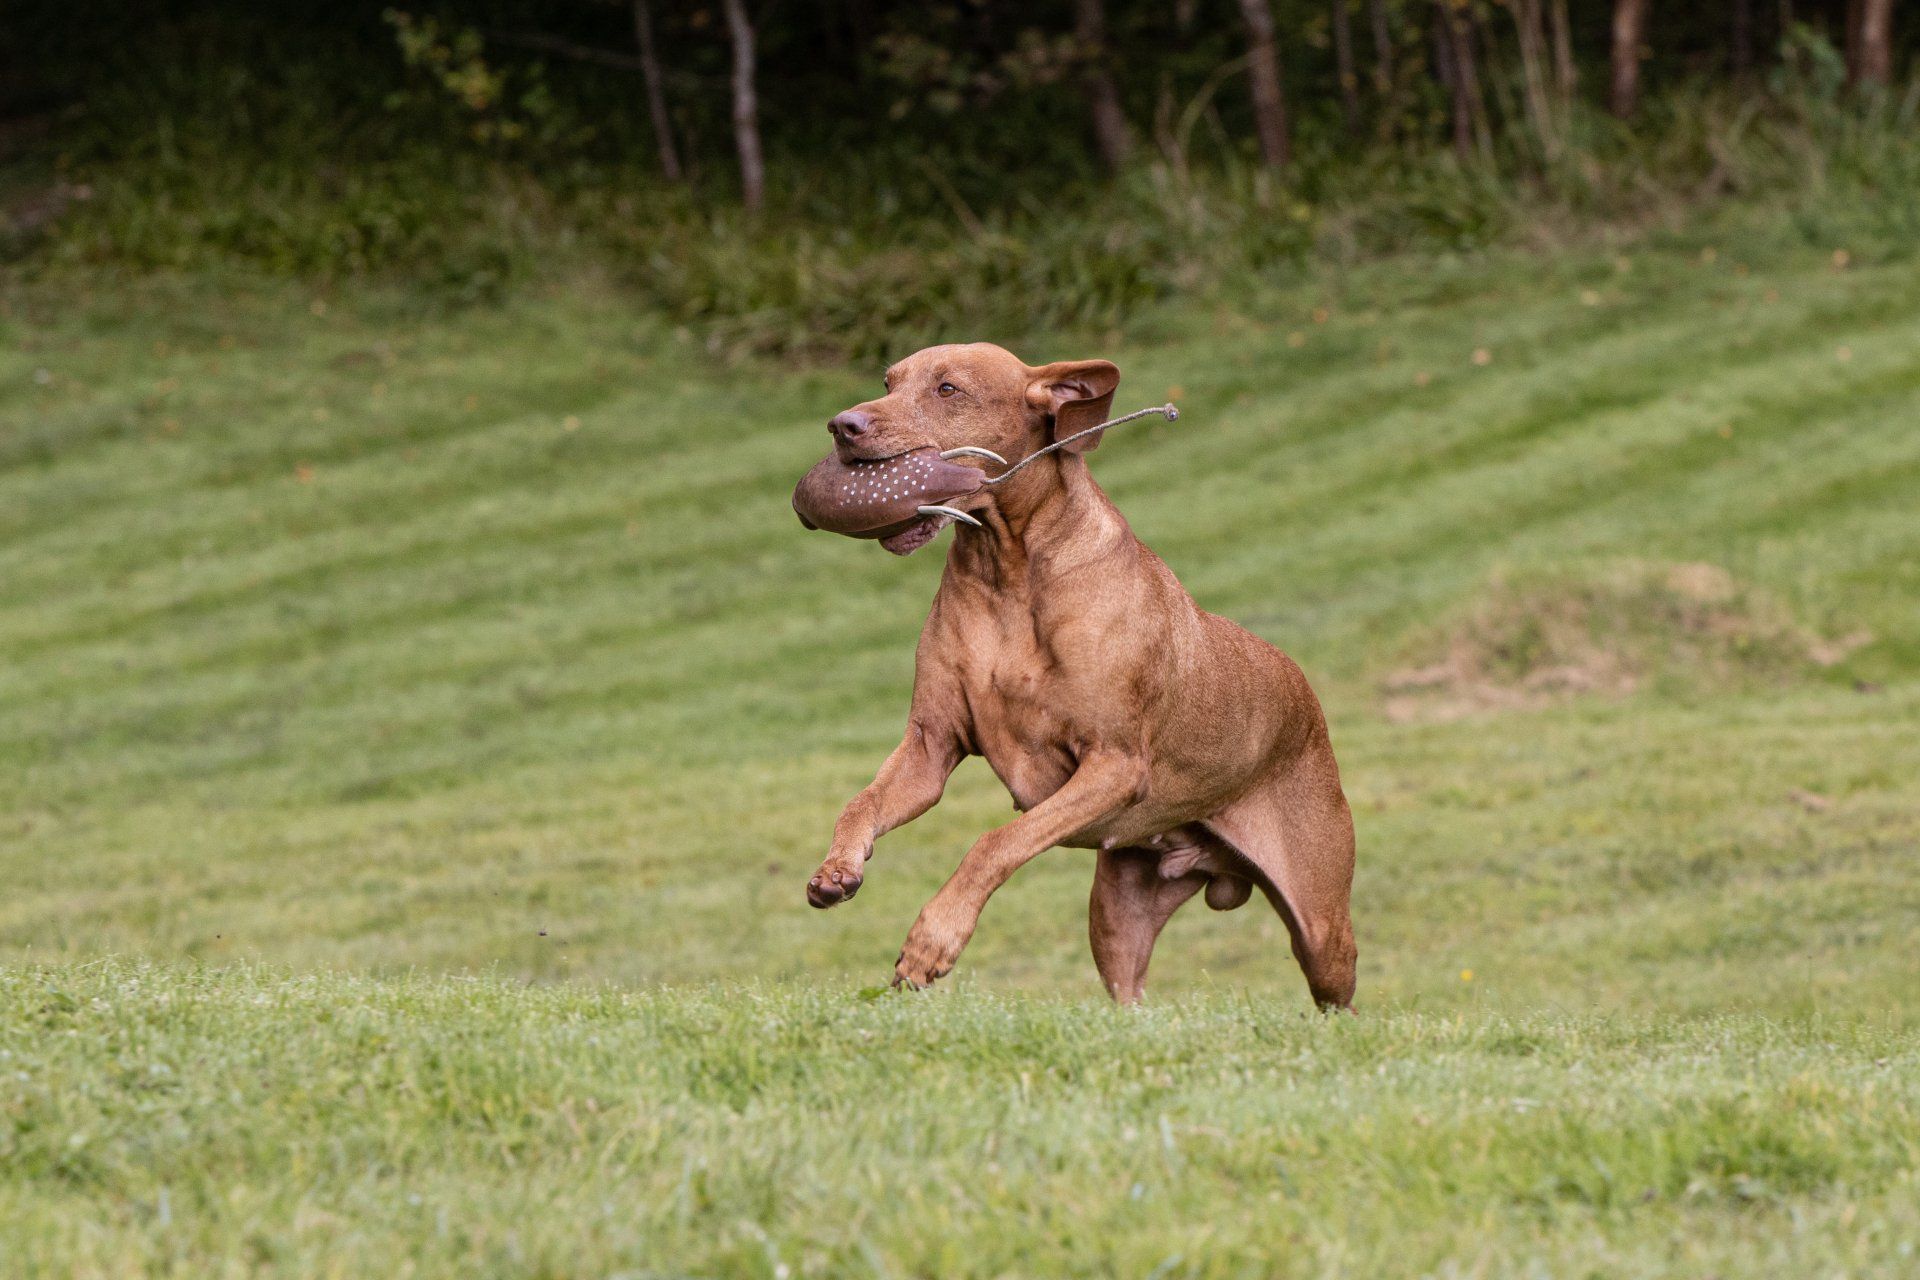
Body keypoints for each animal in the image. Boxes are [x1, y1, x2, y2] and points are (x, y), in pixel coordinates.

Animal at [794, 343, 1356, 1007]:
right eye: (888, 382)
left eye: (948, 389)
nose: (842, 426)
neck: (1007, 569)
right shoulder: (931, 745)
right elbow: (860, 803)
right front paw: (838, 868)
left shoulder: (1113, 765)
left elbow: (994, 843)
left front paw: (933, 940)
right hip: (1118, 912)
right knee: (1129, 996)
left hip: (1323, 928)